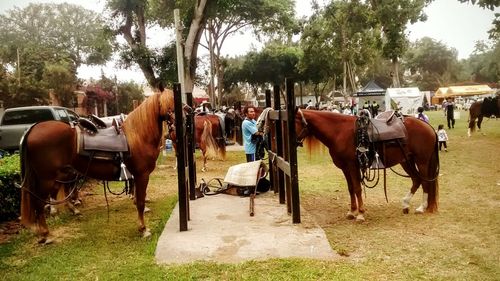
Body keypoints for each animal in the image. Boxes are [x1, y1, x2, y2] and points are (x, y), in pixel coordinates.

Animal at [20, 89, 176, 241]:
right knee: (39, 202)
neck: (137, 135)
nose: (186, 110)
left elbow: (138, 199)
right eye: (170, 103)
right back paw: (45, 233)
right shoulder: (141, 175)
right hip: (47, 178)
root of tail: (32, 129)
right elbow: (141, 202)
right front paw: (143, 229)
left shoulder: (136, 176)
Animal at [294, 108, 440, 220]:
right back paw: (405, 204)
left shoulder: (352, 166)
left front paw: (360, 213)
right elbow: (351, 188)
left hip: (422, 162)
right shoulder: (345, 168)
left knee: (425, 182)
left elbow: (357, 188)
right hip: (406, 161)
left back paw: (421, 207)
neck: (339, 131)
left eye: (293, 123)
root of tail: (428, 127)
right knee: (416, 180)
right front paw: (352, 211)